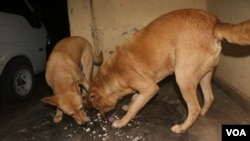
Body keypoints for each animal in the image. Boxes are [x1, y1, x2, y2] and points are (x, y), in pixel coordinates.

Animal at [87, 9, 250, 133]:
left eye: (97, 107)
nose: (103, 117)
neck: (112, 74)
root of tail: (215, 23)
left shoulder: (150, 88)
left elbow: (135, 107)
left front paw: (122, 121)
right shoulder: (143, 88)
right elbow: (134, 99)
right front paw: (129, 105)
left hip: (183, 78)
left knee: (194, 108)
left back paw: (182, 127)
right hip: (204, 75)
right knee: (209, 97)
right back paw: (202, 114)